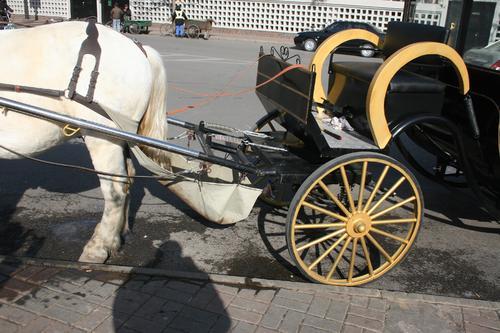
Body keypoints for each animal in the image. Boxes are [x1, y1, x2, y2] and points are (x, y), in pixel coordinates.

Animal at [0, 22, 170, 264]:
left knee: (115, 191)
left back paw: (98, 248)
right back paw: (116, 236)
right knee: (127, 180)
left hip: (103, 137)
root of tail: (139, 48)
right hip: (120, 136)